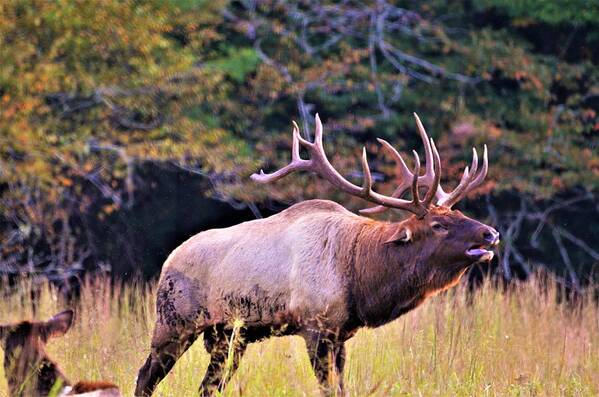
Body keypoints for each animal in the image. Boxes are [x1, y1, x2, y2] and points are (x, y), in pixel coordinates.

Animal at [136, 113, 502, 394]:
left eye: (458, 213)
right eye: (439, 224)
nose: (491, 233)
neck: (360, 278)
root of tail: (169, 260)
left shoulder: (341, 334)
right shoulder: (316, 326)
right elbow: (328, 390)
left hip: (227, 335)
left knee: (208, 386)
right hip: (174, 321)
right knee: (145, 376)